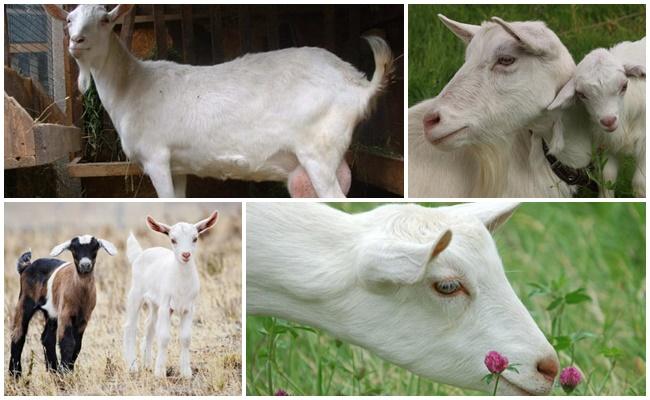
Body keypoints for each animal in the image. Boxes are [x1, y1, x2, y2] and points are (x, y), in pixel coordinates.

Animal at [9, 236, 117, 376]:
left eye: (95, 248)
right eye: (74, 249)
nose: (85, 265)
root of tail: (26, 267)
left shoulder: (84, 317)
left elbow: (77, 345)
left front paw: (67, 371)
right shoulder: (65, 313)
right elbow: (68, 342)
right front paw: (65, 372)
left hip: (51, 312)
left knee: (47, 338)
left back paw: (53, 370)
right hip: (25, 300)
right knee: (18, 334)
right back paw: (15, 374)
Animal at [44, 5, 393, 198]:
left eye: (105, 19)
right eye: (69, 19)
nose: (76, 41)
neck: (132, 85)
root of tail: (358, 84)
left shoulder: (156, 157)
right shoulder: (177, 165)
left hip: (318, 152)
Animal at [123, 211, 218, 377]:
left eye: (195, 238)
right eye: (173, 240)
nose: (186, 254)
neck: (182, 284)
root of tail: (139, 255)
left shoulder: (188, 308)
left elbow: (186, 338)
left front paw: (186, 373)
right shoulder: (166, 306)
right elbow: (164, 337)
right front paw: (160, 373)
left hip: (155, 303)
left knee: (149, 326)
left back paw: (147, 365)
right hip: (136, 294)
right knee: (130, 327)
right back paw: (132, 367)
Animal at [548, 37, 646, 197]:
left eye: (624, 86)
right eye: (581, 94)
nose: (608, 121)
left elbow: (640, 183)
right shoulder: (607, 143)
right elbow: (607, 178)